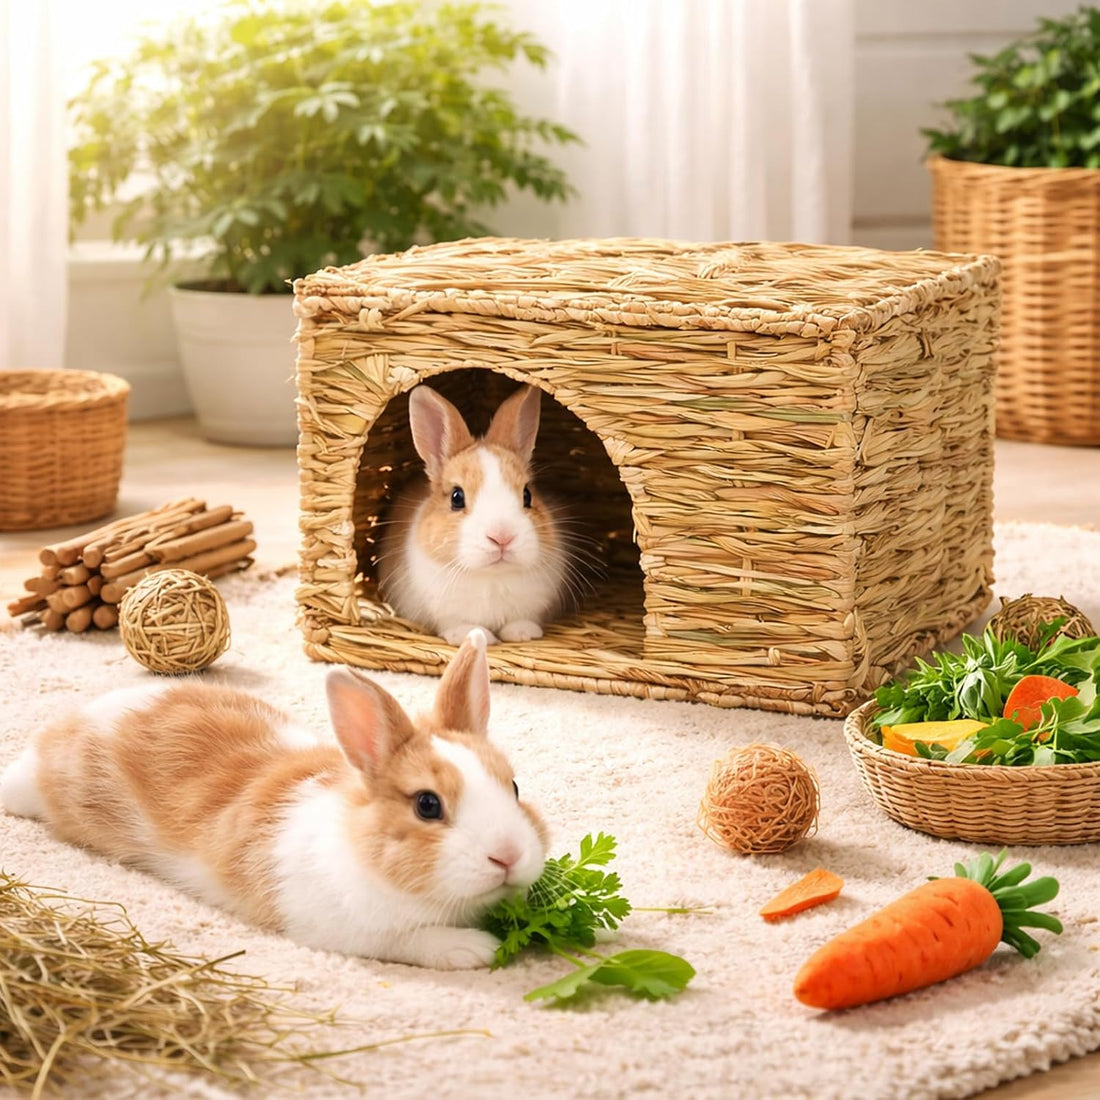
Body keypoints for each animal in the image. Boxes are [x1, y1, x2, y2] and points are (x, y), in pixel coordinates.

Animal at [0, 630, 549, 970]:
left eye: (514, 787)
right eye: (427, 805)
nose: (508, 856)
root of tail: (68, 728)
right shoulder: (351, 931)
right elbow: (412, 939)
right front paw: (475, 949)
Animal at [376, 383, 571, 646]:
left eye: (527, 495)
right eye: (456, 497)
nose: (502, 537)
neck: (491, 576)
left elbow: (521, 620)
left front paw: (522, 633)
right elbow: (457, 624)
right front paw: (473, 635)